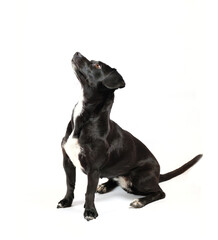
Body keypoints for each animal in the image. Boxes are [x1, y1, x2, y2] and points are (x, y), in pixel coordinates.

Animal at [58, 52, 203, 221]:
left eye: (98, 65)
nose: (77, 53)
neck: (86, 117)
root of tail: (157, 174)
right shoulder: (67, 161)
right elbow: (70, 185)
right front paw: (66, 202)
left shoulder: (93, 169)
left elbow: (89, 192)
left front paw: (90, 211)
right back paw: (105, 186)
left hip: (138, 179)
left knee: (160, 192)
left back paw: (139, 202)